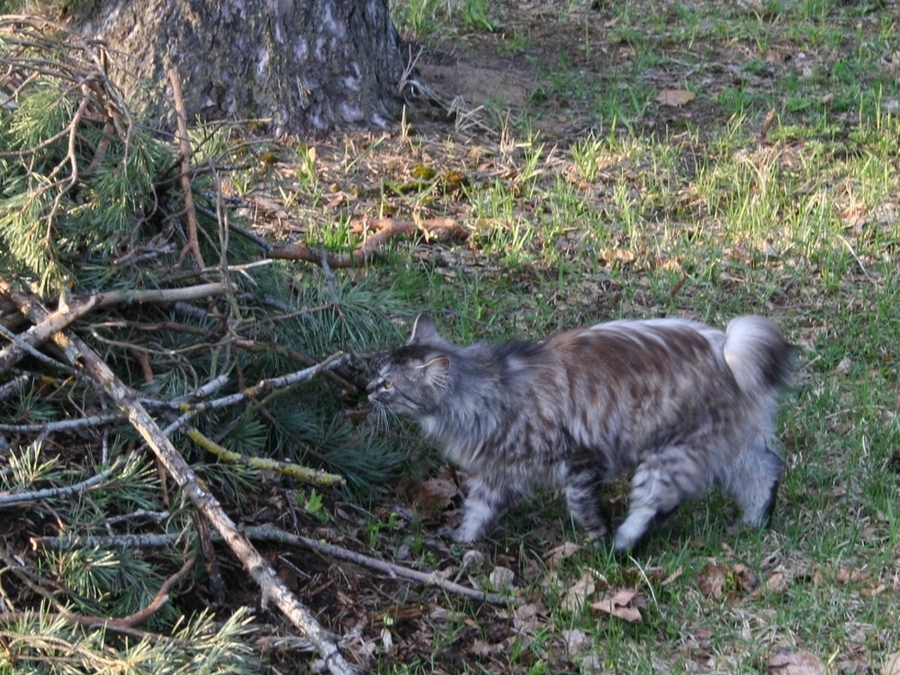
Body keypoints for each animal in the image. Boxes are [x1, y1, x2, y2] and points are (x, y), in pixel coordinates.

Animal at [370, 314, 792, 552]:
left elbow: (580, 505)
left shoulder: (580, 459)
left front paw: (596, 536)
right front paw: (463, 542)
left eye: (389, 384)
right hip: (727, 445)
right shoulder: (497, 470)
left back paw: (622, 545)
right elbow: (478, 509)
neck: (488, 388)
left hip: (670, 453)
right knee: (765, 471)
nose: (367, 388)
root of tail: (726, 347)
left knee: (655, 501)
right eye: (378, 373)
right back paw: (755, 522)